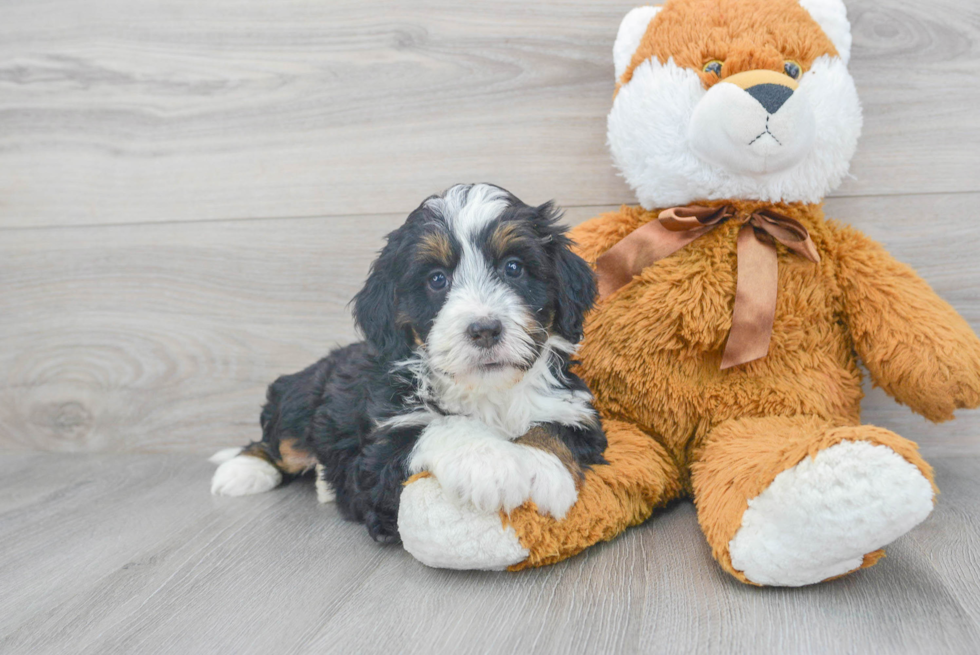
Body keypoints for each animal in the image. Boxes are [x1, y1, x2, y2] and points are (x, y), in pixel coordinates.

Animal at [211, 183, 604, 544]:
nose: (484, 330)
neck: (485, 391)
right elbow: (439, 426)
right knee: (279, 443)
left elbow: (552, 428)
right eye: (437, 279)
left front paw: (542, 469)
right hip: (300, 398)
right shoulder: (376, 459)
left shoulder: (578, 412)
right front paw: (491, 464)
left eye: (513, 268)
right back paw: (242, 470)